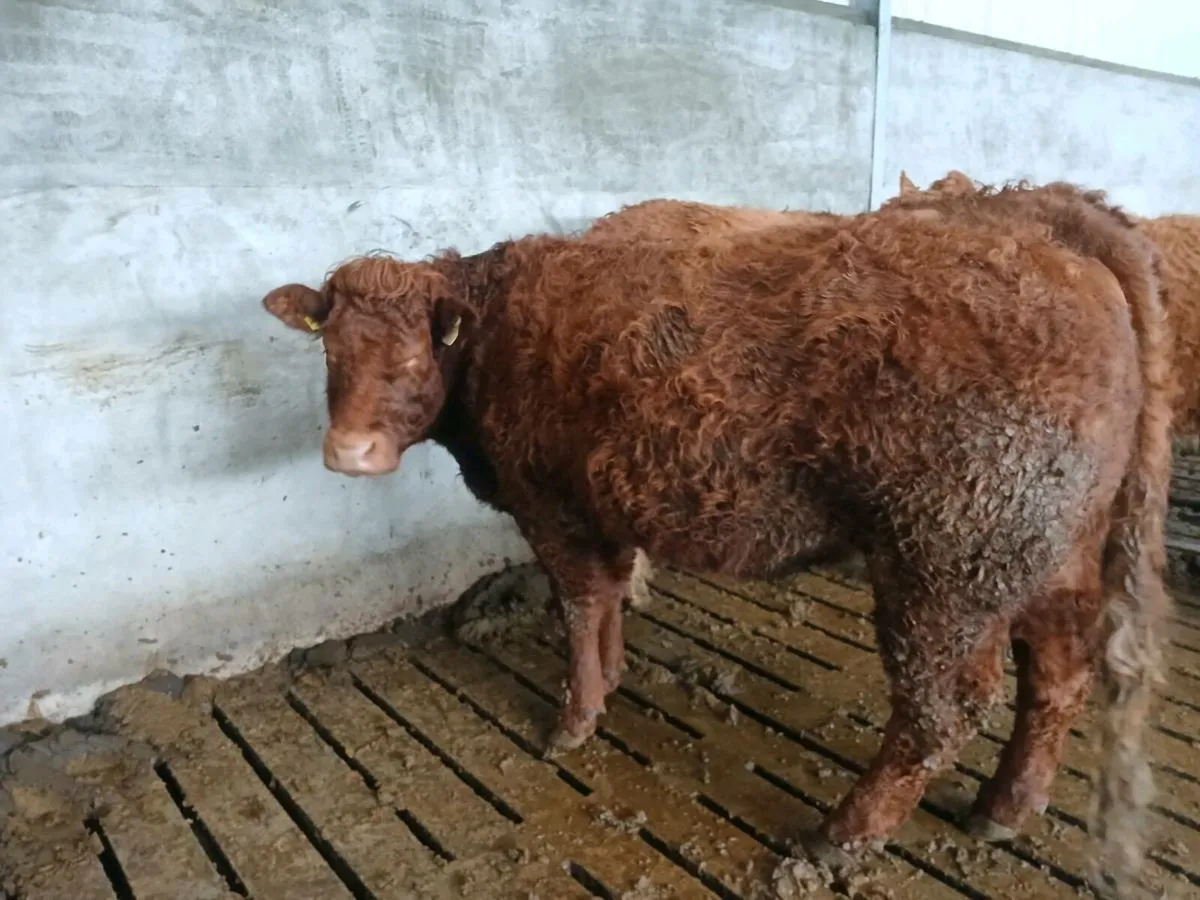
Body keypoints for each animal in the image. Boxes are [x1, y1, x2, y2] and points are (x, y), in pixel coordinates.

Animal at [262, 208, 1170, 892]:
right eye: (331, 351)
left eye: (414, 355)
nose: (348, 453)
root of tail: (1052, 240)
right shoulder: (603, 505)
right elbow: (612, 598)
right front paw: (613, 678)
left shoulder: (551, 507)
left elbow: (579, 604)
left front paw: (574, 719)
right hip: (1046, 554)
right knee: (1057, 672)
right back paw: (1007, 806)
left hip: (945, 568)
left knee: (941, 709)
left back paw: (842, 835)